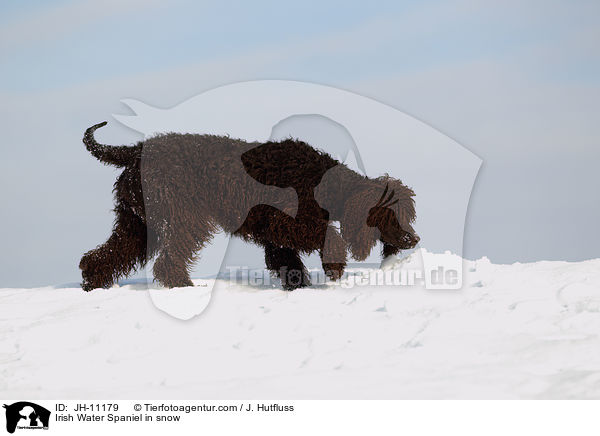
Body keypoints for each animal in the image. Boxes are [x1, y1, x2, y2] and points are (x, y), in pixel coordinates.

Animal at [78, 122, 418, 292]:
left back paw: (92, 282)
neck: (322, 180)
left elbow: (288, 263)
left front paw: (299, 287)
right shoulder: (288, 222)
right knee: (168, 258)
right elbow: (327, 236)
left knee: (109, 253)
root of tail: (135, 150)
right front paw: (334, 266)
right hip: (183, 216)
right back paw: (183, 285)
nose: (414, 239)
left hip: (138, 222)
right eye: (392, 214)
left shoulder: (276, 236)